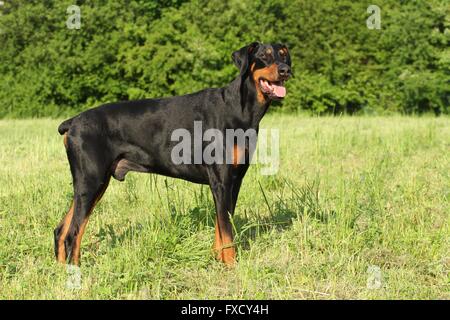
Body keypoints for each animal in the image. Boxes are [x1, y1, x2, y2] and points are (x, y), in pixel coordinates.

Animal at [55, 43, 292, 268]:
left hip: (92, 185)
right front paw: (231, 266)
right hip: (91, 181)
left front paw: (218, 260)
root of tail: (72, 122)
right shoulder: (221, 181)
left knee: (60, 230)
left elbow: (223, 225)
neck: (240, 108)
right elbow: (226, 232)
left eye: (283, 54)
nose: (286, 70)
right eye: (264, 56)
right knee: (73, 232)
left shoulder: (235, 181)